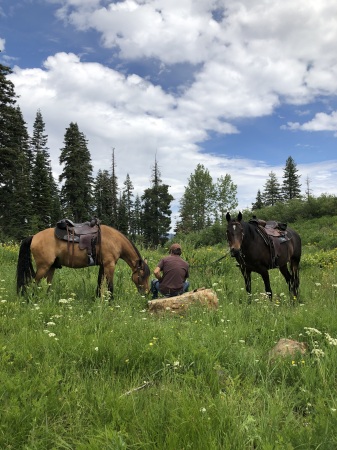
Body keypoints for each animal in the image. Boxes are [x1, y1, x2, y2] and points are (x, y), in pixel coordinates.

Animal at [16, 225, 150, 298]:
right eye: (141, 276)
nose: (147, 293)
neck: (115, 241)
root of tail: (34, 236)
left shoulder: (103, 266)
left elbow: (99, 284)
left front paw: (97, 299)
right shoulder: (109, 265)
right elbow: (110, 286)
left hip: (51, 267)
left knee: (46, 285)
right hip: (43, 267)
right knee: (34, 283)